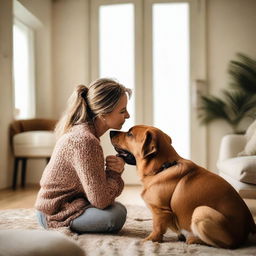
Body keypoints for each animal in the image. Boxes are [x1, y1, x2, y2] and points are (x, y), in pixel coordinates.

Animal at [110, 125, 256, 249]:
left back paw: (194, 239)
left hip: (200, 211)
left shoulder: (160, 211)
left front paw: (148, 241)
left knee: (227, 244)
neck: (162, 167)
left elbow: (156, 229)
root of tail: (249, 225)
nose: (111, 132)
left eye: (130, 134)